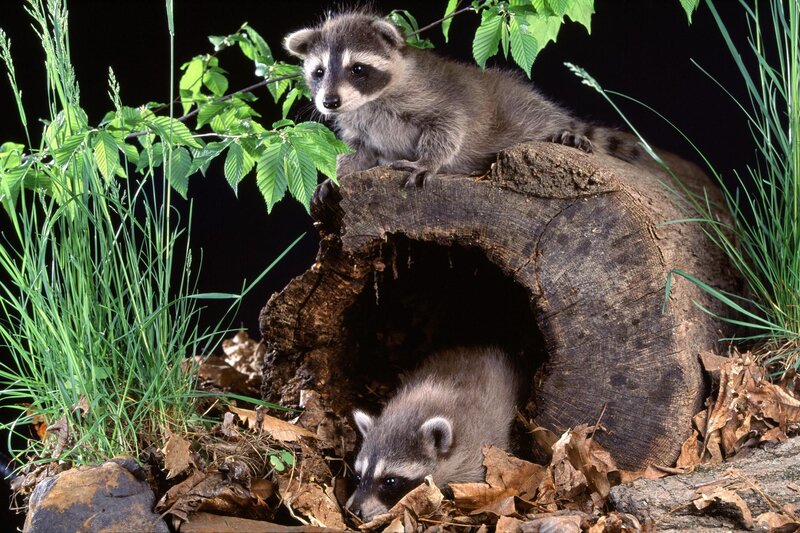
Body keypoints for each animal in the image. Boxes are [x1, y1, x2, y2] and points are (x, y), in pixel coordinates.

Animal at [283, 11, 639, 193]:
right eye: (319, 72)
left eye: (357, 69)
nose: (330, 102)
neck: (370, 101)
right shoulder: (360, 125)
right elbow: (360, 152)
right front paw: (339, 173)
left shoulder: (432, 95)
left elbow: (450, 125)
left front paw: (429, 161)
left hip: (520, 108)